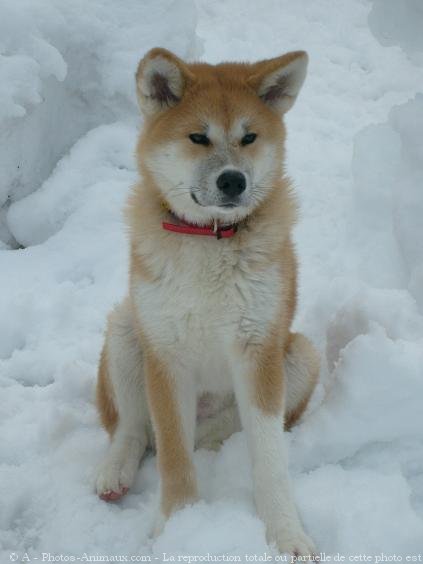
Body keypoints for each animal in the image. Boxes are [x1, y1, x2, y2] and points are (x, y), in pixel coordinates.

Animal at [96, 47, 320, 556]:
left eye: (249, 137)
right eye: (198, 137)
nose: (233, 180)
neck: (209, 239)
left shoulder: (258, 351)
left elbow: (269, 459)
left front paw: (285, 534)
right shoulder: (165, 355)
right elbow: (173, 456)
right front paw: (178, 524)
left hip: (299, 355)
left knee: (219, 437)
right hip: (125, 328)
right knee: (134, 429)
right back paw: (115, 471)